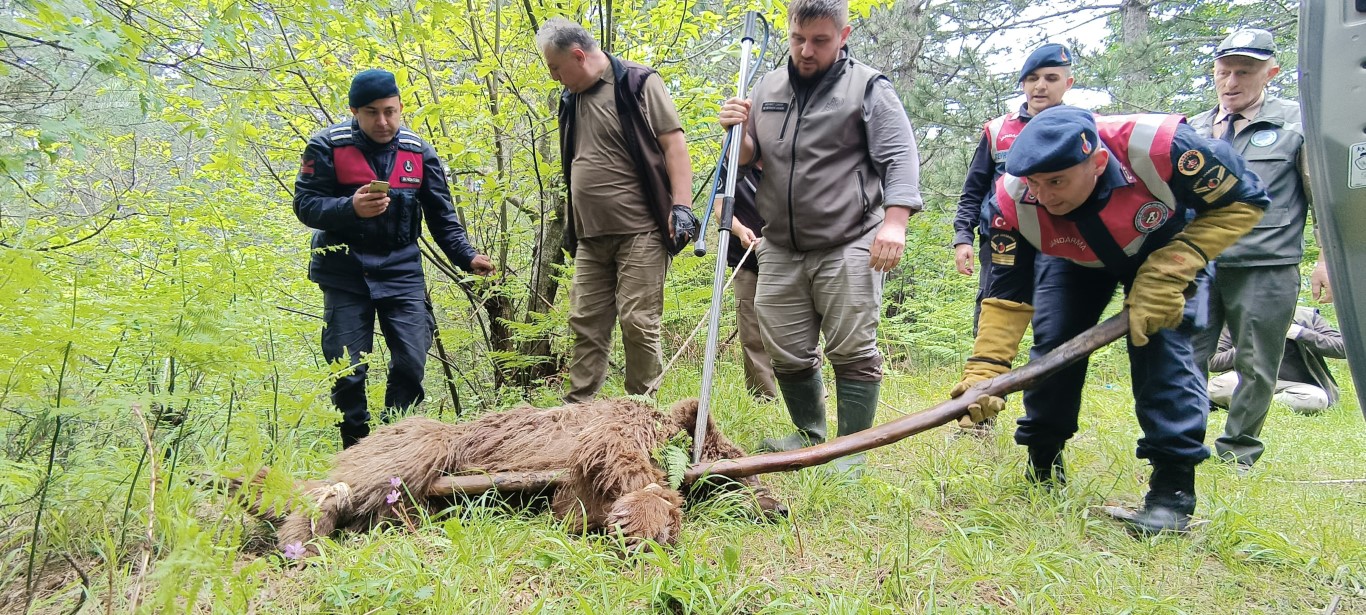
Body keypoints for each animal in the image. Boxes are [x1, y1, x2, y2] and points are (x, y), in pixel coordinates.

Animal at [234, 399, 786, 557]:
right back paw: (295, 526)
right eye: (734, 466)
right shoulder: (615, 429)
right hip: (419, 445)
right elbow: (626, 468)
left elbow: (575, 507)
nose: (780, 506)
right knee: (335, 487)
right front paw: (645, 521)